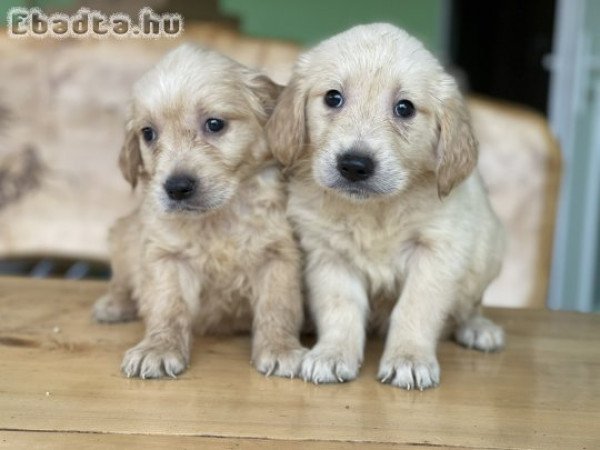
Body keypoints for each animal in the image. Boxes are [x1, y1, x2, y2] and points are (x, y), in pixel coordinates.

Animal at [94, 43, 310, 380]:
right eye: (148, 133)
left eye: (215, 124)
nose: (177, 187)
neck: (218, 216)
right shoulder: (165, 256)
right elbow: (168, 306)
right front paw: (158, 348)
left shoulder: (279, 255)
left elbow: (278, 306)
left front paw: (280, 348)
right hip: (122, 235)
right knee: (121, 279)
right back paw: (114, 304)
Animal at [264, 23, 504, 390]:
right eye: (333, 98)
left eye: (404, 108)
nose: (354, 165)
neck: (374, 210)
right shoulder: (328, 253)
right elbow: (340, 308)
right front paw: (332, 353)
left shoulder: (438, 250)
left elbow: (416, 307)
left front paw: (409, 358)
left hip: (489, 253)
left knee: (469, 305)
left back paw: (478, 328)